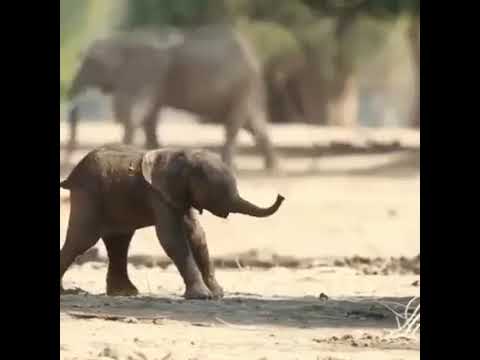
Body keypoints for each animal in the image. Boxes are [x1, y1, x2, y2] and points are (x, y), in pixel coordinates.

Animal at [60, 143, 284, 298]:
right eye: (219, 191)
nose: (281, 196)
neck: (183, 156)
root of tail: (70, 176)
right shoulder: (158, 195)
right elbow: (172, 237)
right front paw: (202, 297)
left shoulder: (180, 195)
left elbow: (196, 235)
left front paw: (217, 294)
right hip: (88, 195)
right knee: (82, 240)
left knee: (119, 242)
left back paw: (125, 293)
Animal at [65, 25, 280, 172]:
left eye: (88, 64)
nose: (67, 163)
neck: (121, 40)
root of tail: (254, 58)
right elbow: (149, 117)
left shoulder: (144, 75)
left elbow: (136, 111)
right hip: (244, 90)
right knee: (255, 125)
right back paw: (273, 167)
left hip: (242, 87)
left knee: (234, 125)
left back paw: (230, 165)